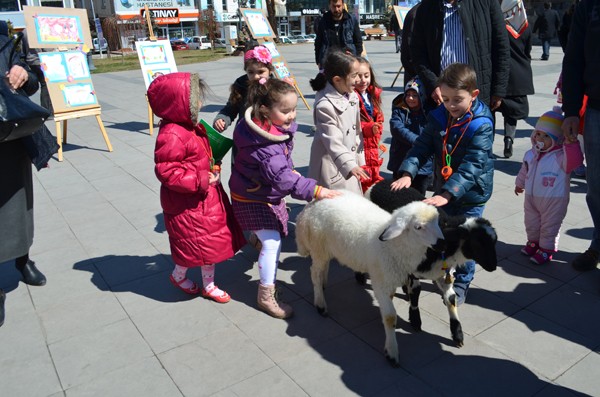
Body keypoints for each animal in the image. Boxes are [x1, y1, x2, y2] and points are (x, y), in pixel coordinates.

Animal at [296, 189, 446, 366]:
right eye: (418, 227)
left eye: (437, 222)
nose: (443, 244)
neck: (393, 246)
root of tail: (309, 208)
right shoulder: (380, 281)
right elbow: (390, 317)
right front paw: (392, 352)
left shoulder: (389, 279)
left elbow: (390, 301)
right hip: (318, 246)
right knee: (314, 272)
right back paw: (320, 303)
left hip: (326, 248)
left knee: (323, 267)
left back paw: (323, 283)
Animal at [368, 179, 500, 346]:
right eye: (478, 243)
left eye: (494, 242)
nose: (493, 267)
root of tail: (382, 182)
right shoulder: (414, 269)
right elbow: (416, 292)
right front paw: (415, 320)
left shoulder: (443, 272)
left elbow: (451, 298)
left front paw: (457, 333)